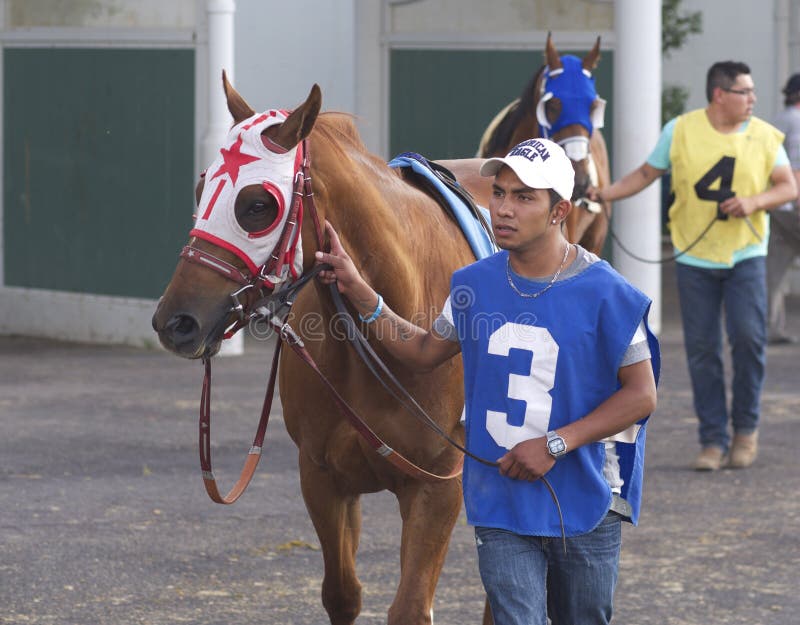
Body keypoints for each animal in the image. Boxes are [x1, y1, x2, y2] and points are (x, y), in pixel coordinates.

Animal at [152, 74, 482, 625]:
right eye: (201, 189)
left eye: (257, 206)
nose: (175, 322)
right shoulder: (323, 478)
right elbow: (341, 594)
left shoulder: (438, 486)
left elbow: (411, 606)